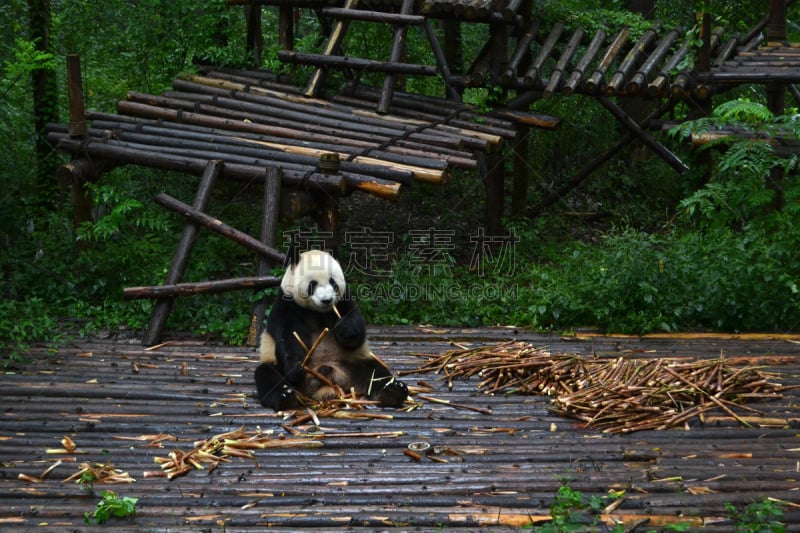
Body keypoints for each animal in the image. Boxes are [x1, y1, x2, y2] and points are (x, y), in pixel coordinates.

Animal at [255, 247, 406, 410]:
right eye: (312, 284)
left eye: (332, 282)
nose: (326, 300)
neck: (317, 311)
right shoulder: (287, 305)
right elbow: (287, 337)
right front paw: (297, 367)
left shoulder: (344, 300)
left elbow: (357, 329)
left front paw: (345, 329)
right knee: (267, 375)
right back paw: (285, 397)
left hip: (353, 363)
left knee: (375, 372)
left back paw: (393, 391)